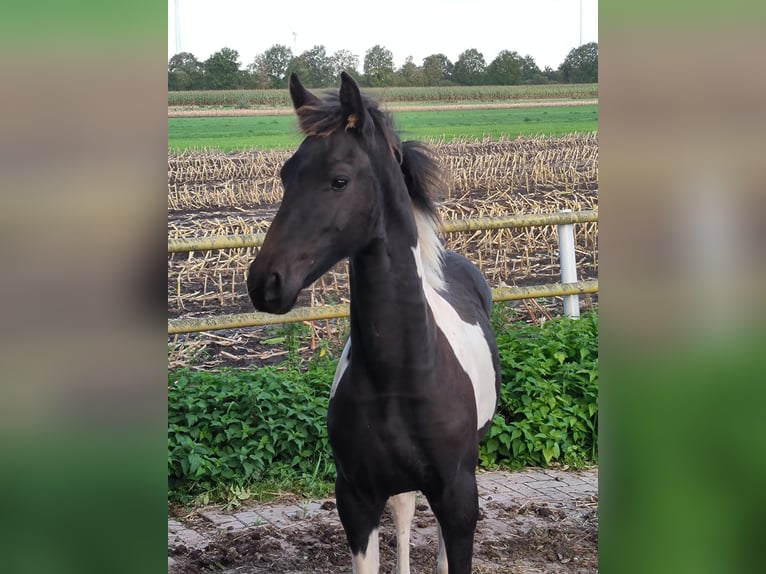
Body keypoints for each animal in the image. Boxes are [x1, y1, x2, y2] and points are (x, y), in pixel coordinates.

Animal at [248, 73, 504, 574]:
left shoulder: (458, 495)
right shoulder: (356, 497)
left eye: (339, 180)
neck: (399, 375)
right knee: (404, 510)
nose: (265, 283)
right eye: (286, 175)